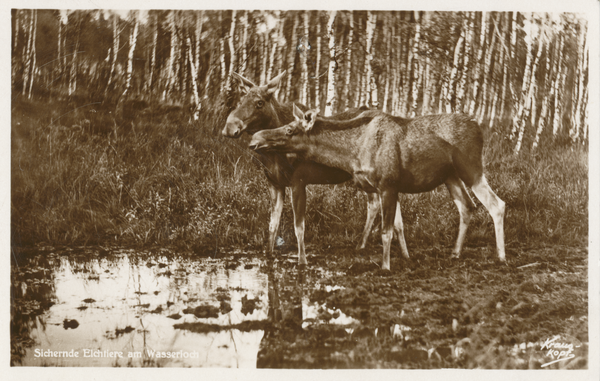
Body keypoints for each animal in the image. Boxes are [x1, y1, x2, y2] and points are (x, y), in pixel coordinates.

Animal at [248, 104, 506, 270]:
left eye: (290, 129)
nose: (255, 139)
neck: (351, 153)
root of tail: (479, 128)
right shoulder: (383, 187)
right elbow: (396, 226)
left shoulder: (388, 185)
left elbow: (386, 231)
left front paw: (385, 267)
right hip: (450, 177)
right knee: (467, 206)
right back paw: (455, 253)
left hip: (471, 169)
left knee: (497, 204)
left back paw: (501, 258)